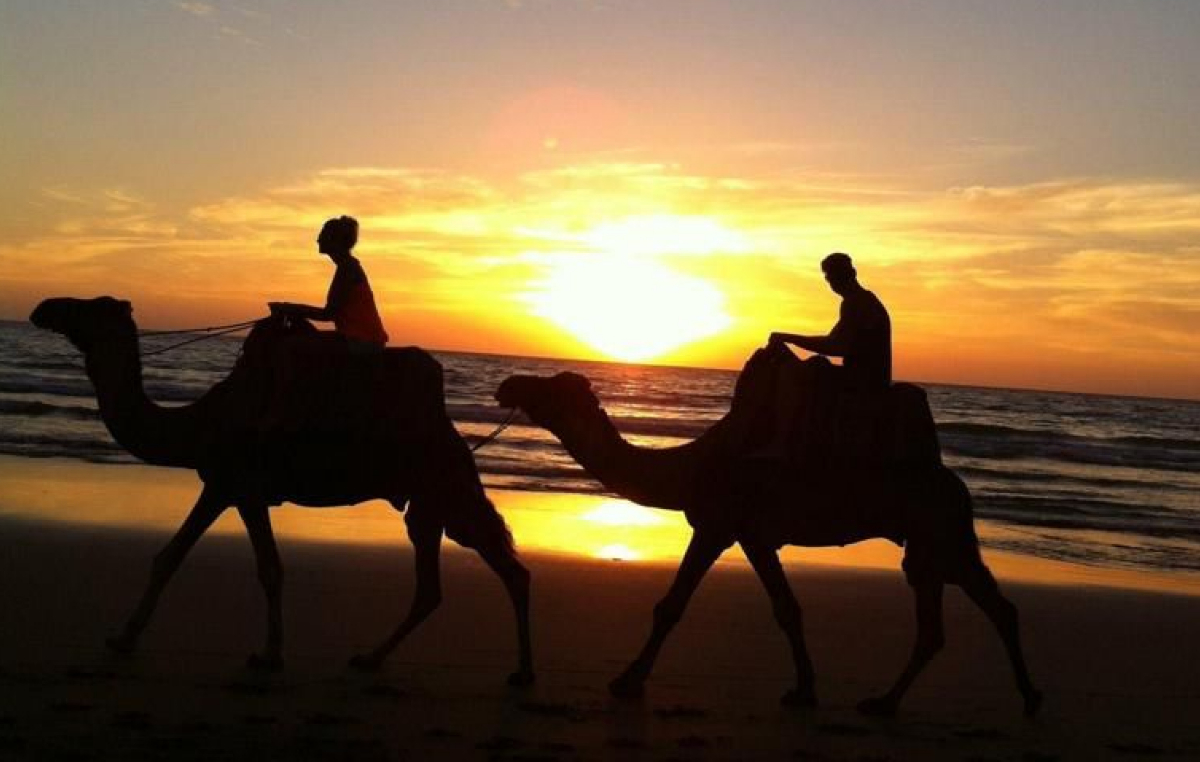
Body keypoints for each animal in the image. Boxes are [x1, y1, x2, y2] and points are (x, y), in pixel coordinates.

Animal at [29, 295, 535, 681]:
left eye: (92, 306)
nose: (44, 307)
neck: (199, 423)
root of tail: (455, 437)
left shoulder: (240, 486)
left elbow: (266, 569)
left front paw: (268, 656)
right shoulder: (225, 486)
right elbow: (170, 557)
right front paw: (122, 638)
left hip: (444, 489)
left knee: (501, 570)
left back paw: (523, 673)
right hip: (431, 505)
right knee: (445, 583)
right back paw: (371, 659)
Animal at [496, 352, 1041, 715]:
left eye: (549, 387)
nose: (507, 384)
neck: (690, 466)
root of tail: (957, 485)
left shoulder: (718, 524)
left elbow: (671, 606)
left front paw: (627, 681)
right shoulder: (754, 536)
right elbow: (787, 610)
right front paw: (804, 690)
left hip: (937, 535)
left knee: (967, 614)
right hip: (939, 543)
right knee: (974, 614)